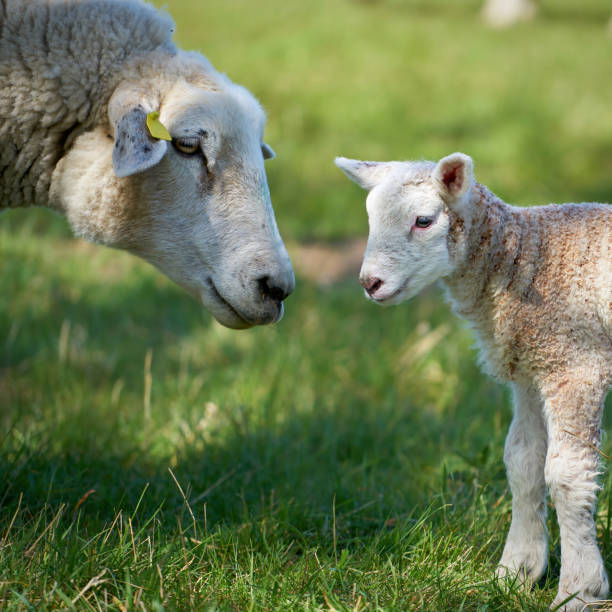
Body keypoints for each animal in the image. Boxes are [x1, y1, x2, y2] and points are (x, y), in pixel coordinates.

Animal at [334, 152, 612, 608]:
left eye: (424, 220)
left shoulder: (576, 362)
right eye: (370, 218)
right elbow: (523, 462)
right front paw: (516, 572)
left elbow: (567, 475)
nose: (370, 283)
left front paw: (579, 591)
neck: (532, 257)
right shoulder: (531, 368)